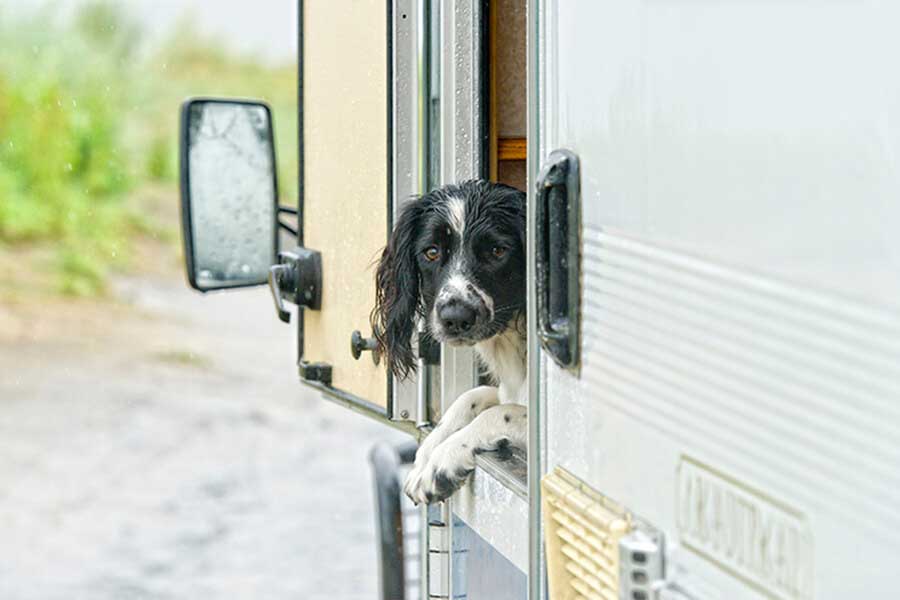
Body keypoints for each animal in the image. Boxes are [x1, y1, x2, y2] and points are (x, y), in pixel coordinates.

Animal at [372, 180, 528, 504]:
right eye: (431, 252)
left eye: (498, 250)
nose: (455, 318)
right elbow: (471, 397)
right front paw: (426, 456)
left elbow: (499, 413)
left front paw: (442, 461)